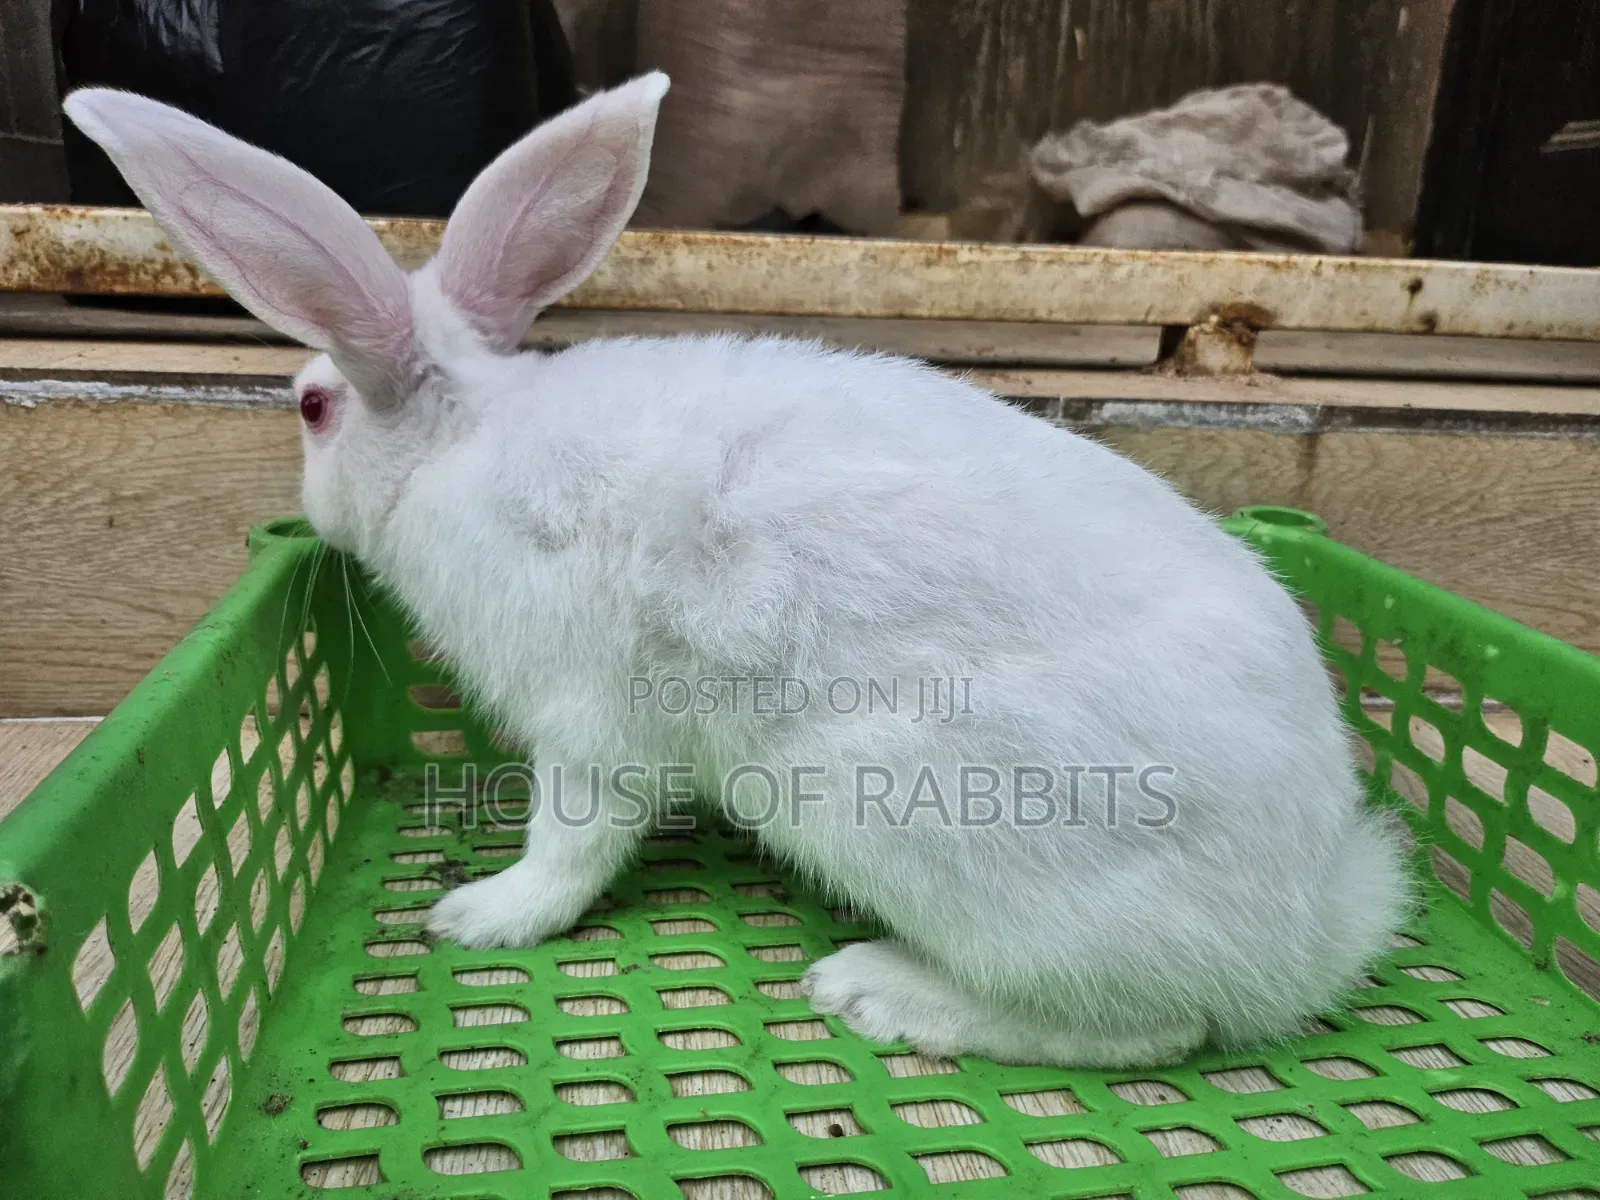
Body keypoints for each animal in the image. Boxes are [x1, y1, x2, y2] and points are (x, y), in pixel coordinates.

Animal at [64, 74, 1412, 1070]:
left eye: (309, 407)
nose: (304, 509)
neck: (463, 440)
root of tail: (1308, 928)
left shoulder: (585, 724)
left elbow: (571, 845)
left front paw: (477, 917)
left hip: (911, 818)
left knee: (1155, 1028)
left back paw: (875, 993)